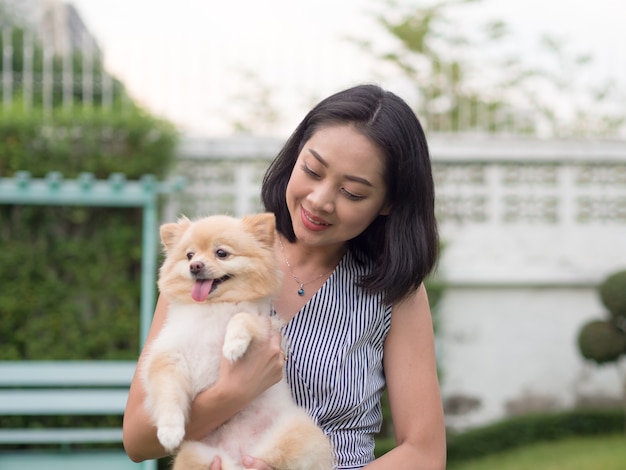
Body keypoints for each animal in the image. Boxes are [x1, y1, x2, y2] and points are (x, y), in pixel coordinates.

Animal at [141, 214, 334, 470]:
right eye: (189, 255)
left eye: (221, 253)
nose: (195, 266)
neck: (214, 305)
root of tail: (240, 455)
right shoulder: (169, 355)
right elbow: (168, 394)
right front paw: (169, 432)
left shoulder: (265, 325)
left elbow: (241, 317)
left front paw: (233, 345)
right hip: (196, 455)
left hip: (297, 431)